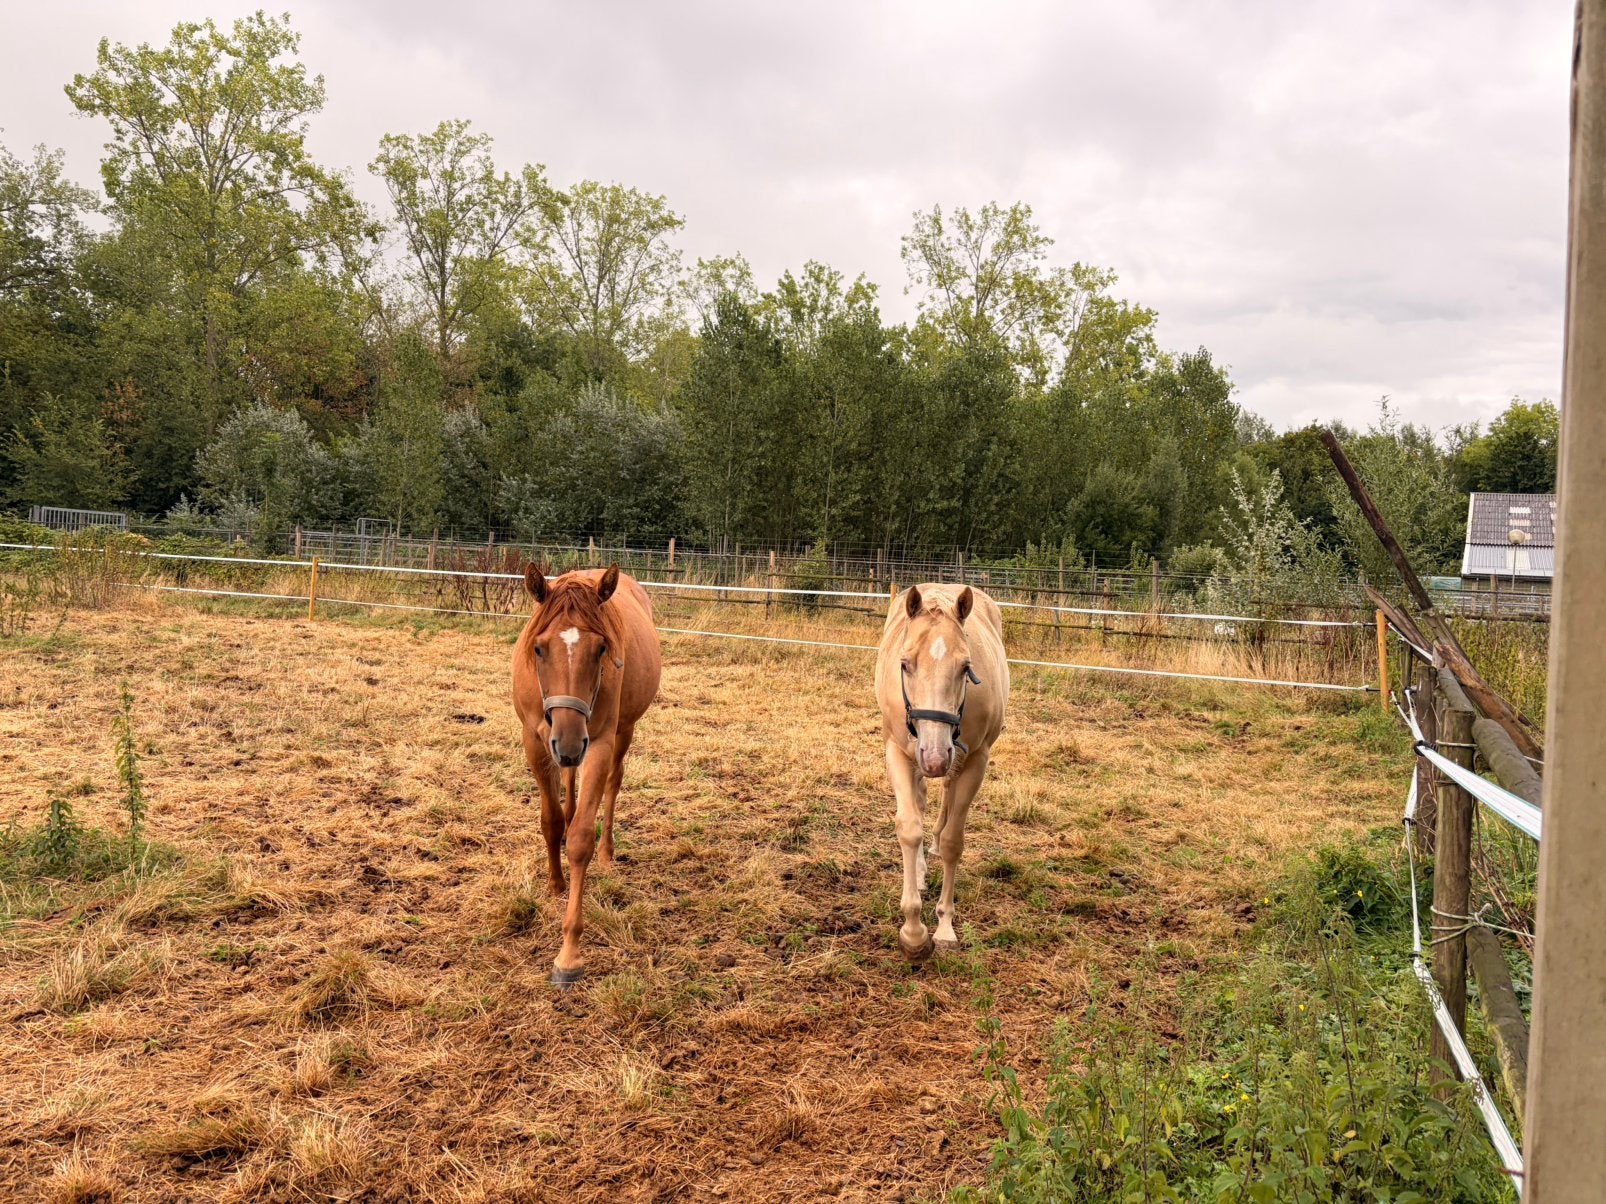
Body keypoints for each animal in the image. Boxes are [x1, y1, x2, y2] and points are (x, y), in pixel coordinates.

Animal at [511, 564, 662, 986]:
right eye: (539, 648)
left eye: (601, 649)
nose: (567, 739)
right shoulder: (536, 740)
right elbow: (550, 821)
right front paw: (554, 884)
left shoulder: (598, 744)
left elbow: (581, 838)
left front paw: (569, 955)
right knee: (569, 786)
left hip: (620, 732)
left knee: (612, 785)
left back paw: (608, 853)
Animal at [873, 583, 1009, 962]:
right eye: (904, 664)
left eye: (966, 667)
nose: (934, 757)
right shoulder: (897, 752)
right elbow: (909, 827)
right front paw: (913, 932)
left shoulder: (975, 760)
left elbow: (952, 841)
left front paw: (945, 927)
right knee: (922, 801)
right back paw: (919, 871)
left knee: (947, 795)